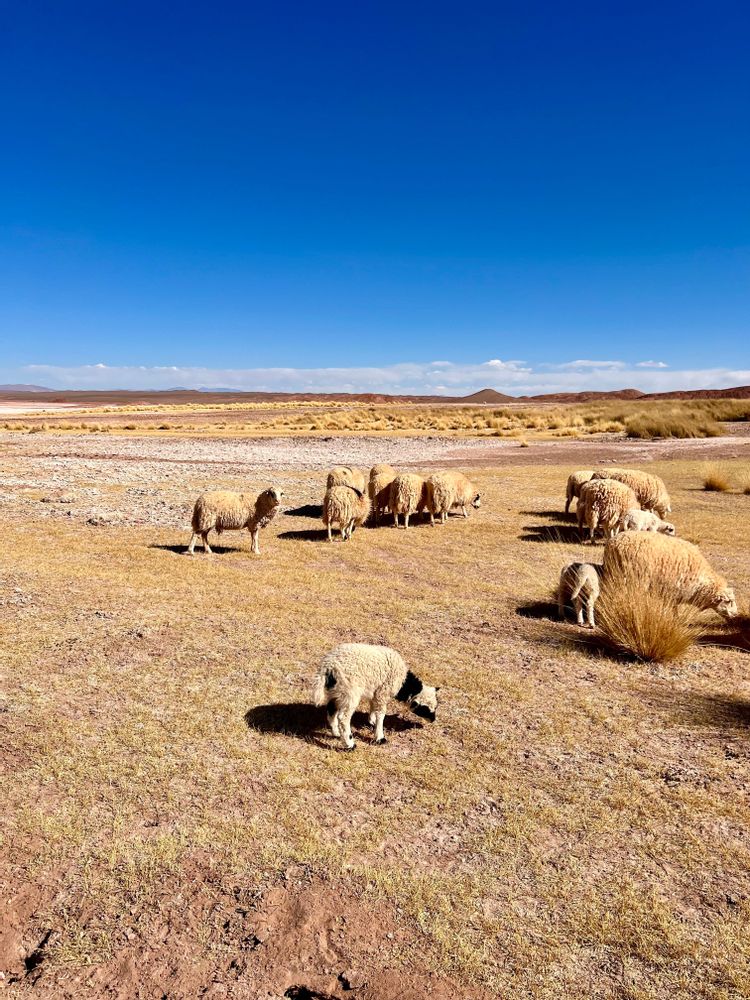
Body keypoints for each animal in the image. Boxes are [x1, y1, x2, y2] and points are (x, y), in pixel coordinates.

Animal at [604, 531, 738, 619]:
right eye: (728, 601)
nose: (736, 614)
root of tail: (615, 543)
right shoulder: (671, 591)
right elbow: (672, 610)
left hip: (612, 574)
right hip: (634, 578)